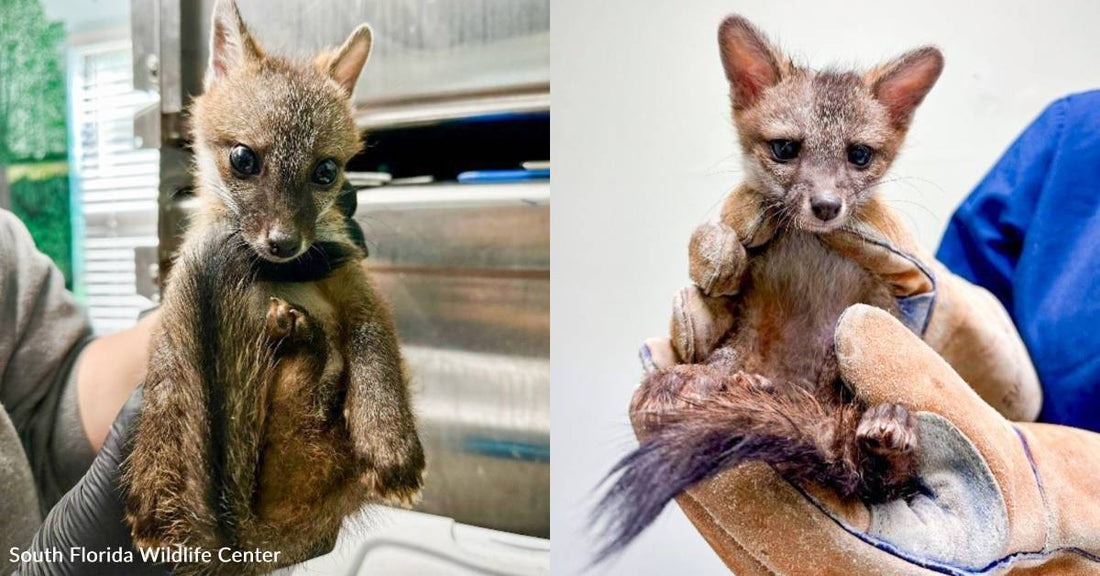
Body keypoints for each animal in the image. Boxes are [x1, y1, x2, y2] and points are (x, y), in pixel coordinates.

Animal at [123, 1, 425, 573]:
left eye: (325, 172)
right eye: (244, 159)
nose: (284, 243)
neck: (275, 278)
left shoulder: (355, 287)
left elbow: (376, 352)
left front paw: (390, 439)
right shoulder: (176, 304)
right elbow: (165, 379)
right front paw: (152, 476)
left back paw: (300, 341)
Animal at [592, 15, 945, 561]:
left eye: (859, 155)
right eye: (785, 148)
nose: (826, 206)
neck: (810, 273)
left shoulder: (870, 308)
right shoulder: (751, 314)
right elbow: (726, 353)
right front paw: (701, 378)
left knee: (878, 475)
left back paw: (888, 435)